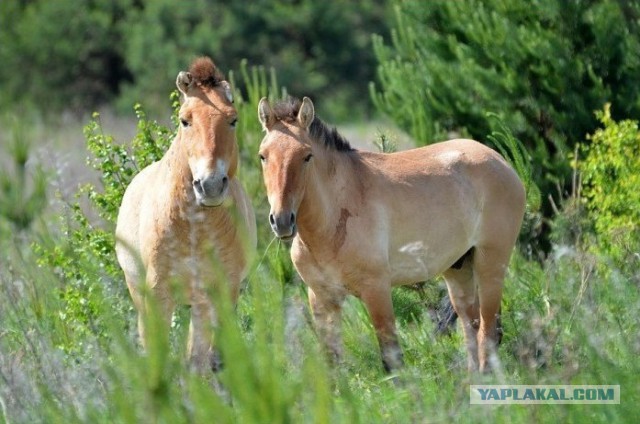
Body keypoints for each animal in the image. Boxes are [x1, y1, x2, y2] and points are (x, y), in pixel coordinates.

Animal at [116, 57, 256, 374]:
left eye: (233, 119)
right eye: (185, 120)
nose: (210, 184)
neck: (194, 227)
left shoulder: (224, 291)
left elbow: (209, 359)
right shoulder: (157, 293)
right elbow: (158, 354)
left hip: (201, 302)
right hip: (141, 294)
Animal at [256, 97, 524, 374]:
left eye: (307, 156)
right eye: (263, 156)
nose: (282, 221)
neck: (332, 223)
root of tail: (501, 161)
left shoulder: (377, 292)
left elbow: (391, 359)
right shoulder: (322, 298)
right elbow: (332, 363)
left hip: (490, 267)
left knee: (487, 332)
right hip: (458, 271)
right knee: (472, 330)